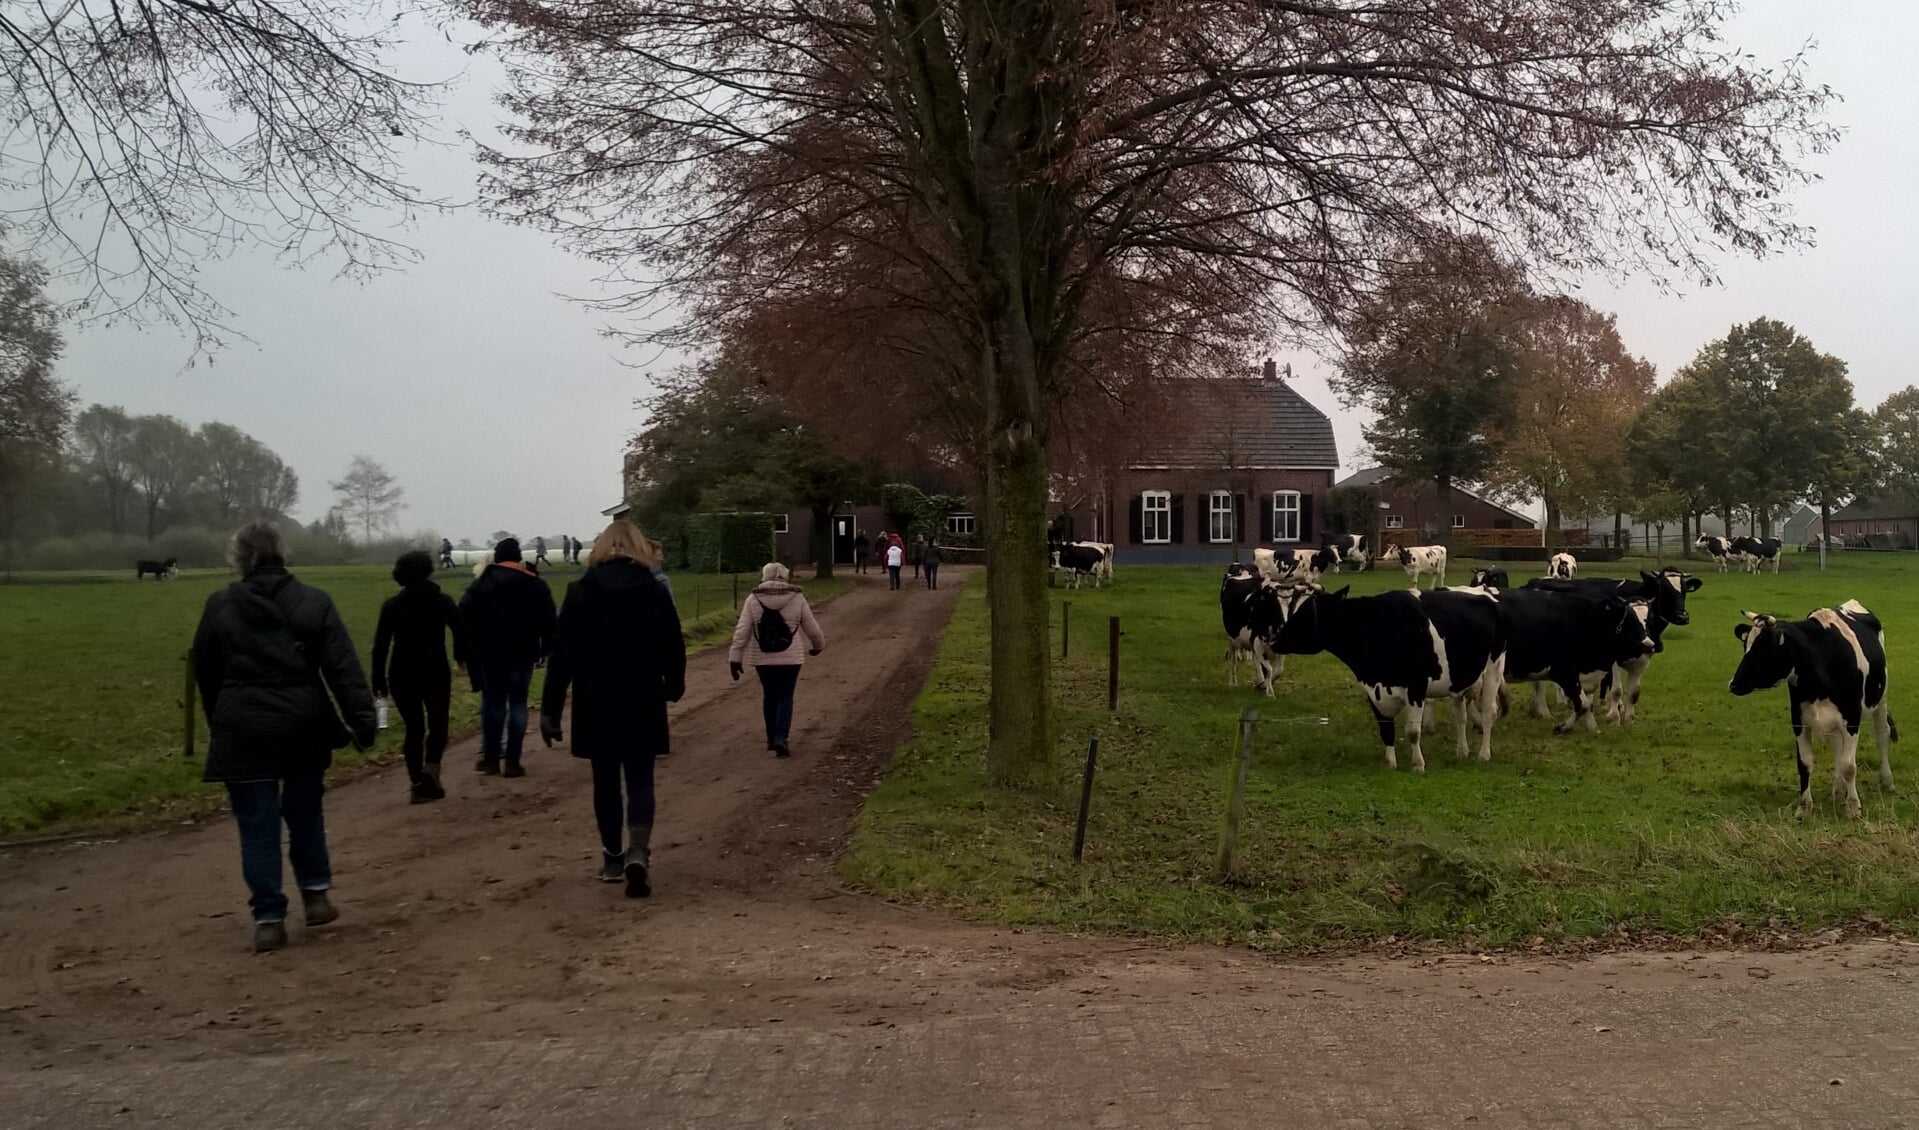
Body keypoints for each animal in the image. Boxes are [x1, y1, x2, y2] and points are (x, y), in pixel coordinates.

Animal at [1266, 583, 1504, 767]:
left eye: (1303, 615)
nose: (1275, 639)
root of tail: (1485, 596)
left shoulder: (1416, 686)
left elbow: (1412, 731)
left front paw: (1418, 764)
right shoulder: (1372, 689)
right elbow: (1386, 728)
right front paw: (1390, 763)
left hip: (1494, 668)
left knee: (1489, 713)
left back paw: (1484, 755)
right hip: (1459, 680)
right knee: (1460, 715)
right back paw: (1462, 751)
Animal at [1489, 587, 1658, 736]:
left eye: (1650, 619)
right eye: (1629, 620)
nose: (1648, 644)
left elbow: (1588, 703)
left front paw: (1593, 729)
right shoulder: (1565, 673)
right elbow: (1582, 704)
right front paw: (1564, 727)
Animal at [1734, 598, 1895, 821]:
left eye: (1762, 650)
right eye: (1745, 646)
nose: (1733, 684)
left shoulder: (1851, 718)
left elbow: (1849, 766)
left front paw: (1853, 807)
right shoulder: (1798, 719)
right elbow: (1805, 763)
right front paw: (1804, 807)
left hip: (1881, 699)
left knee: (1882, 735)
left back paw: (1887, 781)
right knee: (1837, 747)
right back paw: (1838, 788)